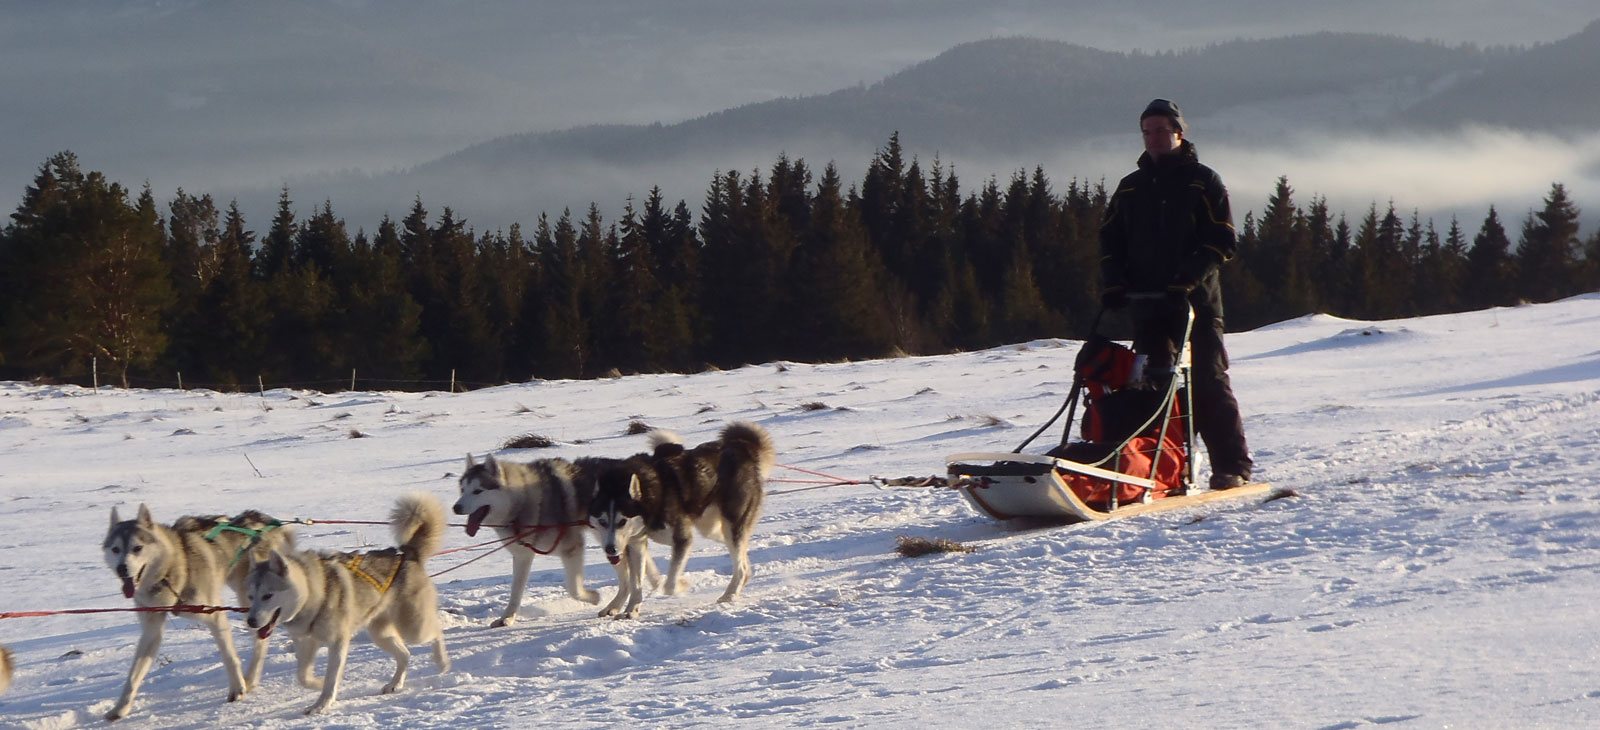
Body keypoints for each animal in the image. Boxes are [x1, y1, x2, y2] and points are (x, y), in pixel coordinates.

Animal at [102, 509, 294, 717]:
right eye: (115, 549)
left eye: (137, 548)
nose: (122, 568)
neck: (174, 568)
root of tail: (269, 521)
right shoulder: (152, 629)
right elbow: (133, 675)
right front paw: (120, 708)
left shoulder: (214, 615)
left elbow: (229, 656)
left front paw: (237, 689)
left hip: (251, 600)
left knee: (262, 639)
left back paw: (251, 677)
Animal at [246, 493, 454, 717]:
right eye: (250, 597)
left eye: (268, 596)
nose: (251, 621)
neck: (313, 593)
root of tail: (408, 554)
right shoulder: (306, 643)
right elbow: (303, 676)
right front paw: (317, 684)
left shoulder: (337, 642)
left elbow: (331, 678)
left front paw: (322, 704)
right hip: (381, 634)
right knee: (405, 654)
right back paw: (395, 684)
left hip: (413, 627)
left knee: (436, 631)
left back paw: (442, 662)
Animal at [454, 454, 601, 624]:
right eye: (463, 490)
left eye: (478, 491)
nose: (455, 508)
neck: (523, 502)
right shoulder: (522, 555)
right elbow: (515, 592)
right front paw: (507, 618)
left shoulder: (572, 548)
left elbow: (574, 589)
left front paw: (594, 597)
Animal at [588, 419, 774, 617]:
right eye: (602, 521)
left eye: (622, 521)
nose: (610, 549)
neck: (651, 497)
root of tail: (742, 448)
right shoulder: (636, 544)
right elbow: (636, 582)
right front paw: (632, 609)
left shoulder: (682, 539)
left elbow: (669, 584)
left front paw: (682, 585)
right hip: (712, 528)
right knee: (742, 559)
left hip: (730, 524)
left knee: (740, 564)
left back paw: (729, 595)